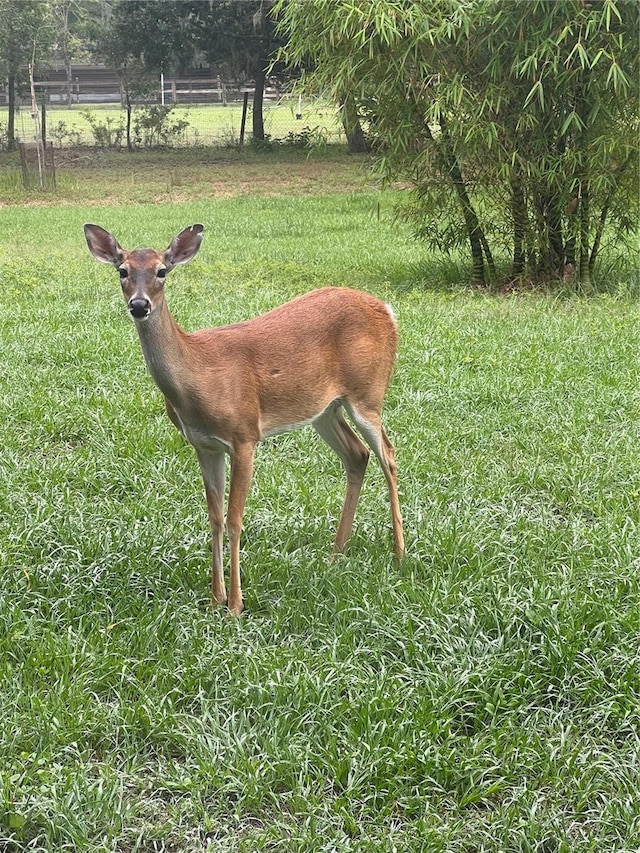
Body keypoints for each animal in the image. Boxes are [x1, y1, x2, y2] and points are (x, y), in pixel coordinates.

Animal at [84, 223, 404, 616]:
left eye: (161, 271)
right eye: (122, 271)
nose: (139, 305)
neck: (197, 379)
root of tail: (387, 310)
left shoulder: (245, 435)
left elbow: (235, 519)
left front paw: (236, 604)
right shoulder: (204, 445)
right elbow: (214, 518)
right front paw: (214, 598)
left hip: (368, 393)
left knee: (388, 454)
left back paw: (399, 554)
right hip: (325, 408)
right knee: (357, 455)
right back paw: (335, 554)